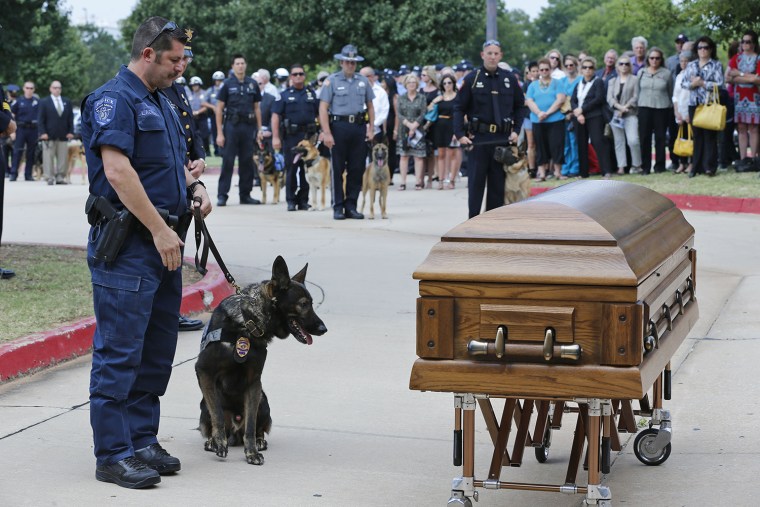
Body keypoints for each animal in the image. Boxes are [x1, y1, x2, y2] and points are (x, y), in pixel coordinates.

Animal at [193, 256, 326, 466]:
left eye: (311, 303)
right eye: (304, 304)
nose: (324, 329)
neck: (247, 324)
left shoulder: (254, 382)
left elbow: (250, 424)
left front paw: (251, 452)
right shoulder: (204, 371)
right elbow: (218, 416)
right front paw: (219, 443)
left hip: (263, 400)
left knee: (256, 426)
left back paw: (259, 440)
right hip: (203, 404)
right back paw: (212, 441)